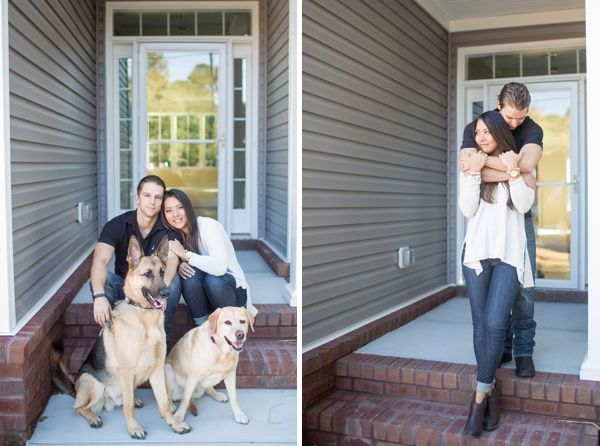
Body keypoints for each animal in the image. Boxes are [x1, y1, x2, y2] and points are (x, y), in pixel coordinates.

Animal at [53, 235, 191, 438]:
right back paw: (93, 417)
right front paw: (134, 428)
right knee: (79, 407)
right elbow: (128, 407)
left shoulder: (157, 368)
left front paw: (174, 423)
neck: (144, 316)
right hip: (94, 382)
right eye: (148, 274)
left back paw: (135, 399)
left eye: (162, 272)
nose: (166, 293)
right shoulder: (126, 371)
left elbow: (164, 402)